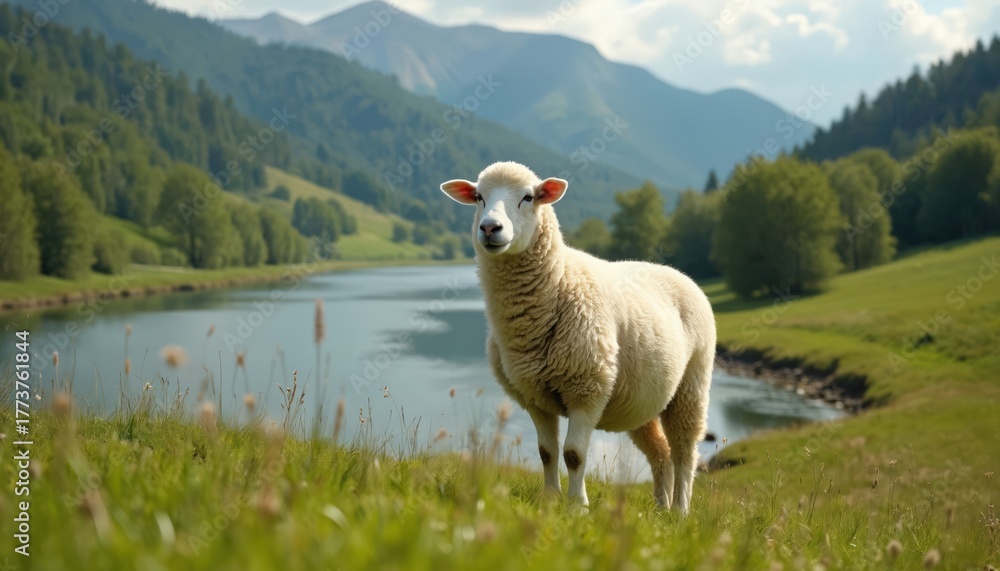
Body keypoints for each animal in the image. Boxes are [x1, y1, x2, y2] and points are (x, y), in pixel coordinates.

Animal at [440, 161, 716, 512]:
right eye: (478, 197)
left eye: (529, 197)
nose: (489, 228)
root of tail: (676, 272)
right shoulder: (534, 395)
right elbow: (547, 453)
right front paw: (549, 501)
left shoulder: (587, 387)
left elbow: (574, 454)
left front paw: (578, 508)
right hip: (642, 398)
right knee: (661, 453)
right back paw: (660, 509)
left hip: (691, 386)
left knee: (684, 452)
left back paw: (680, 509)